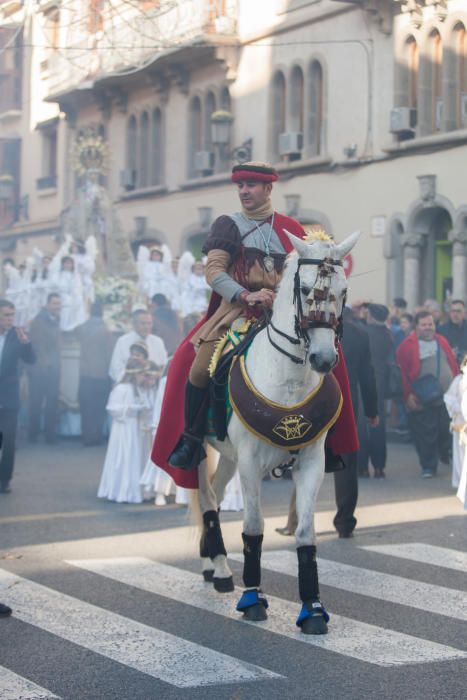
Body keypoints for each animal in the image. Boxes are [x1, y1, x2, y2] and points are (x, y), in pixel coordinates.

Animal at [196, 232, 360, 636]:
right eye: (303, 289)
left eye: (343, 290)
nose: (323, 359)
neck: (288, 379)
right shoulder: (251, 463)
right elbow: (253, 527)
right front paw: (253, 599)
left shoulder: (311, 462)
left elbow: (305, 533)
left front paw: (312, 609)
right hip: (200, 449)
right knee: (206, 498)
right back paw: (221, 570)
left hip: (228, 456)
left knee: (215, 496)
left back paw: (213, 564)